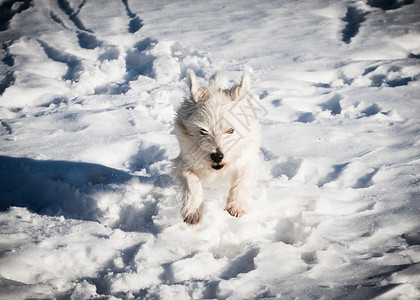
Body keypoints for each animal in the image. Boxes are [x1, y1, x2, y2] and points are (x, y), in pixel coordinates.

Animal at [171, 69, 260, 225]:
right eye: (203, 130)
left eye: (230, 130)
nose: (217, 156)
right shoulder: (183, 163)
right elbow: (191, 181)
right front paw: (192, 211)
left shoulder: (247, 161)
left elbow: (242, 181)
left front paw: (236, 206)